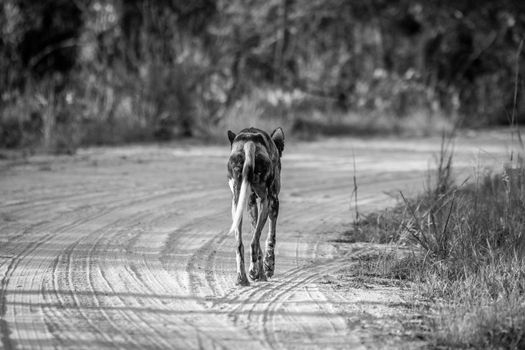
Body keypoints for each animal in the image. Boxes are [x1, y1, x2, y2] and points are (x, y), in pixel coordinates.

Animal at [225, 127, 282, 286]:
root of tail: (249, 142)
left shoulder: (250, 203)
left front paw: (260, 272)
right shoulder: (273, 202)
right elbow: (270, 238)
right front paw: (268, 268)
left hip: (237, 203)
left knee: (240, 245)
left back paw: (243, 278)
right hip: (266, 201)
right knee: (254, 242)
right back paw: (255, 273)